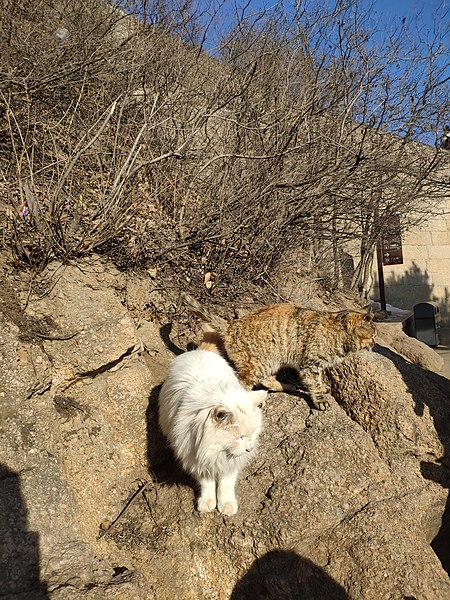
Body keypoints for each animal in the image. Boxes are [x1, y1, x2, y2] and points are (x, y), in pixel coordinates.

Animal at [157, 352, 266, 516]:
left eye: (252, 434)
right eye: (240, 437)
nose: (250, 449)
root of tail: (198, 351)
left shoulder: (229, 463)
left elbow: (226, 484)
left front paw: (226, 505)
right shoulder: (196, 458)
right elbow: (207, 484)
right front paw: (207, 503)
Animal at [183, 292, 376, 410]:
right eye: (373, 335)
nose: (374, 343)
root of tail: (231, 325)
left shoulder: (316, 367)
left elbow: (319, 380)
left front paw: (323, 387)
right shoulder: (310, 366)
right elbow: (314, 384)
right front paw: (320, 399)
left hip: (270, 362)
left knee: (266, 380)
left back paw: (287, 385)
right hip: (256, 365)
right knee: (240, 384)